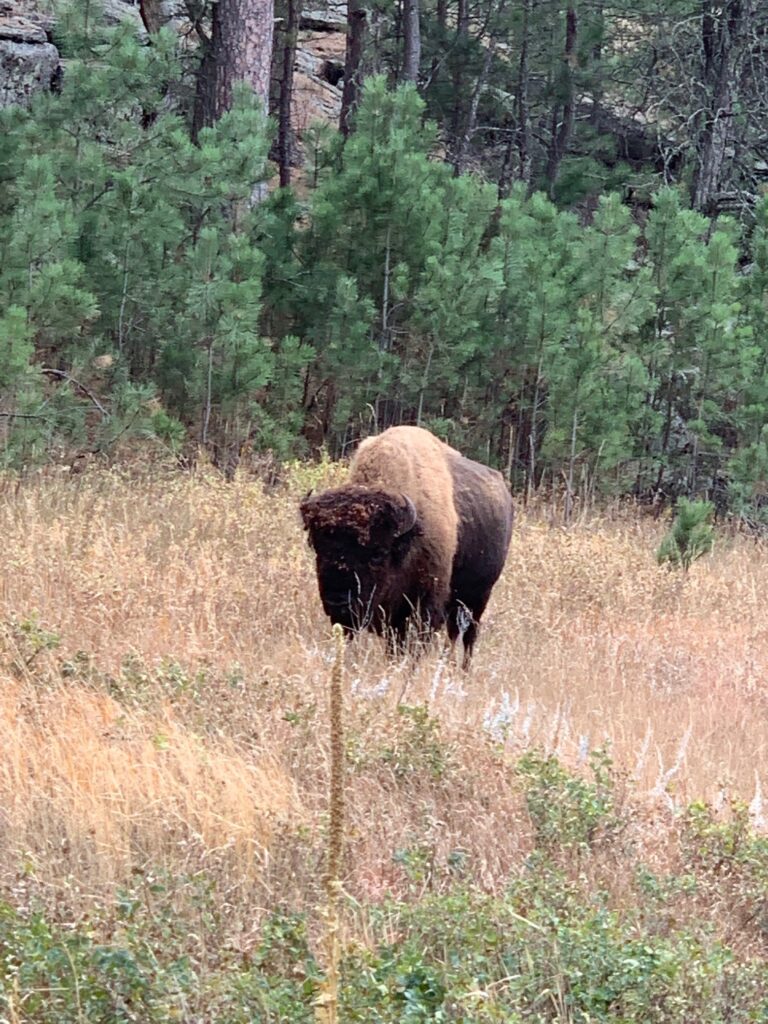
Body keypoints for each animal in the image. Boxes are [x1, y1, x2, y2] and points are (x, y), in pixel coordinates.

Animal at [299, 421, 512, 663]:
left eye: (378, 554)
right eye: (318, 548)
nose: (338, 601)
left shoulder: (422, 608)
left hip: (478, 597)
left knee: (467, 636)